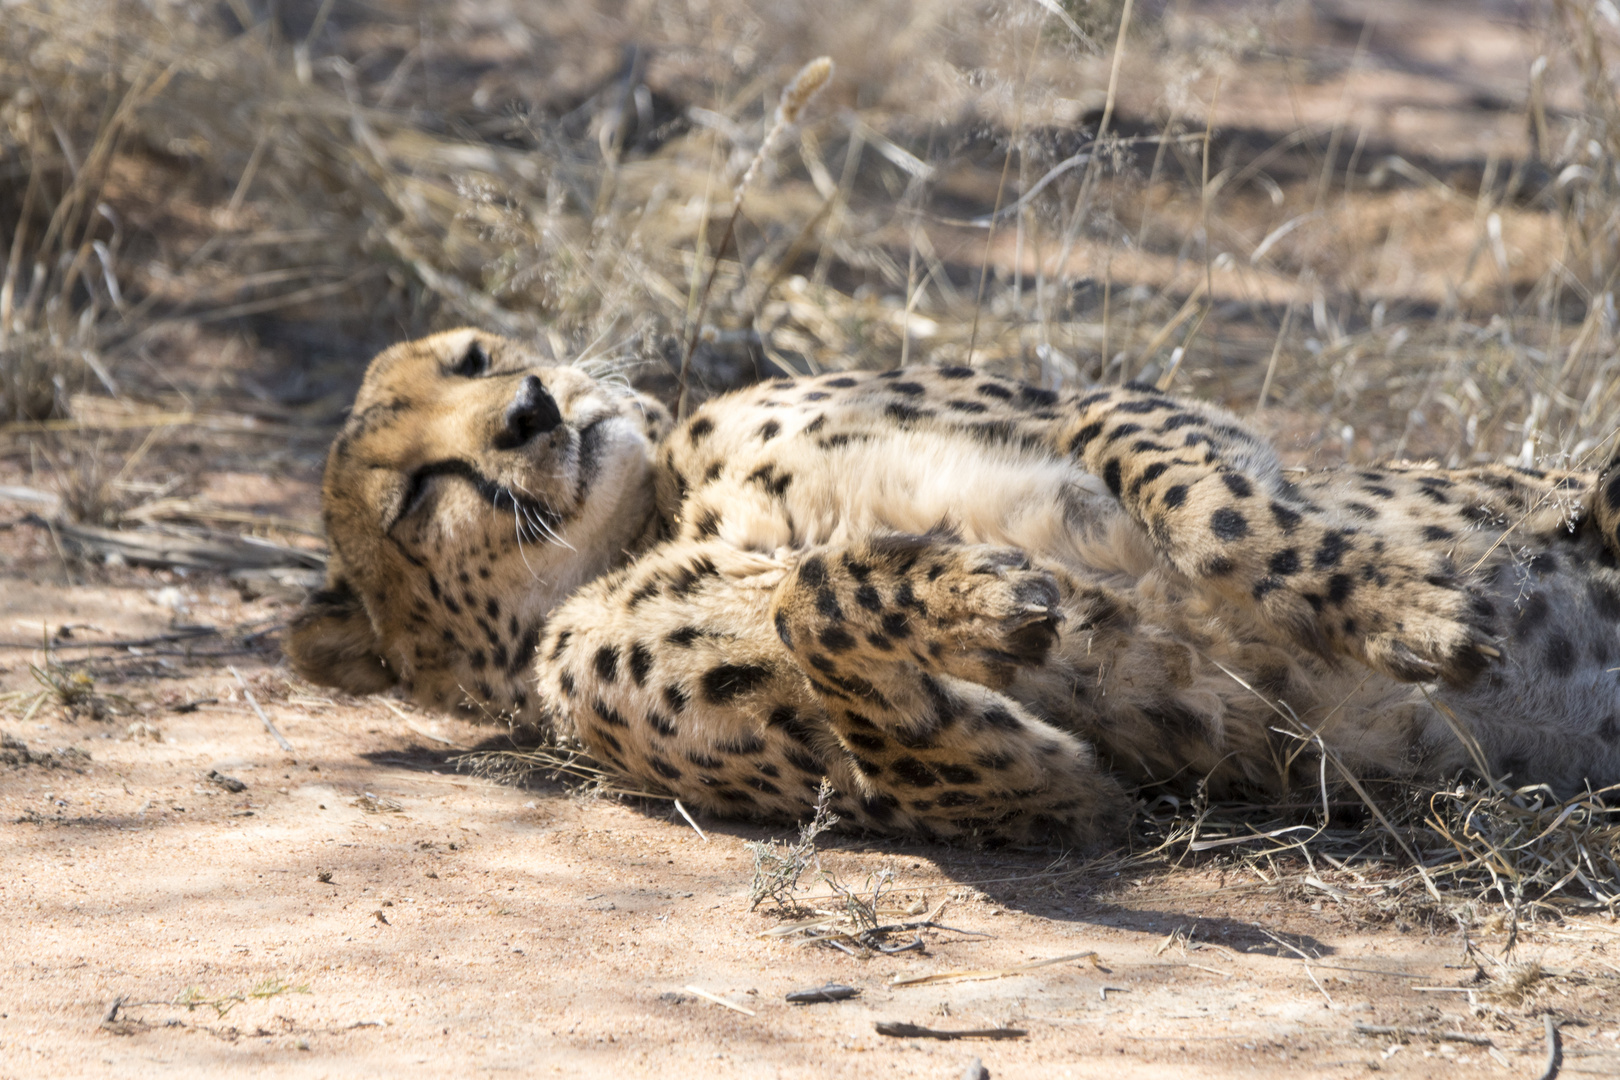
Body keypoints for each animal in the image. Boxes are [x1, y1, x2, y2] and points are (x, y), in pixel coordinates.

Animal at [285, 330, 1620, 841]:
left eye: (474, 355)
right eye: (418, 493)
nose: (532, 408)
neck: (662, 515)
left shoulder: (1123, 408)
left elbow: (1220, 512)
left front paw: (1407, 609)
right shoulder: (1029, 791)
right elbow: (813, 604)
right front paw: (973, 592)